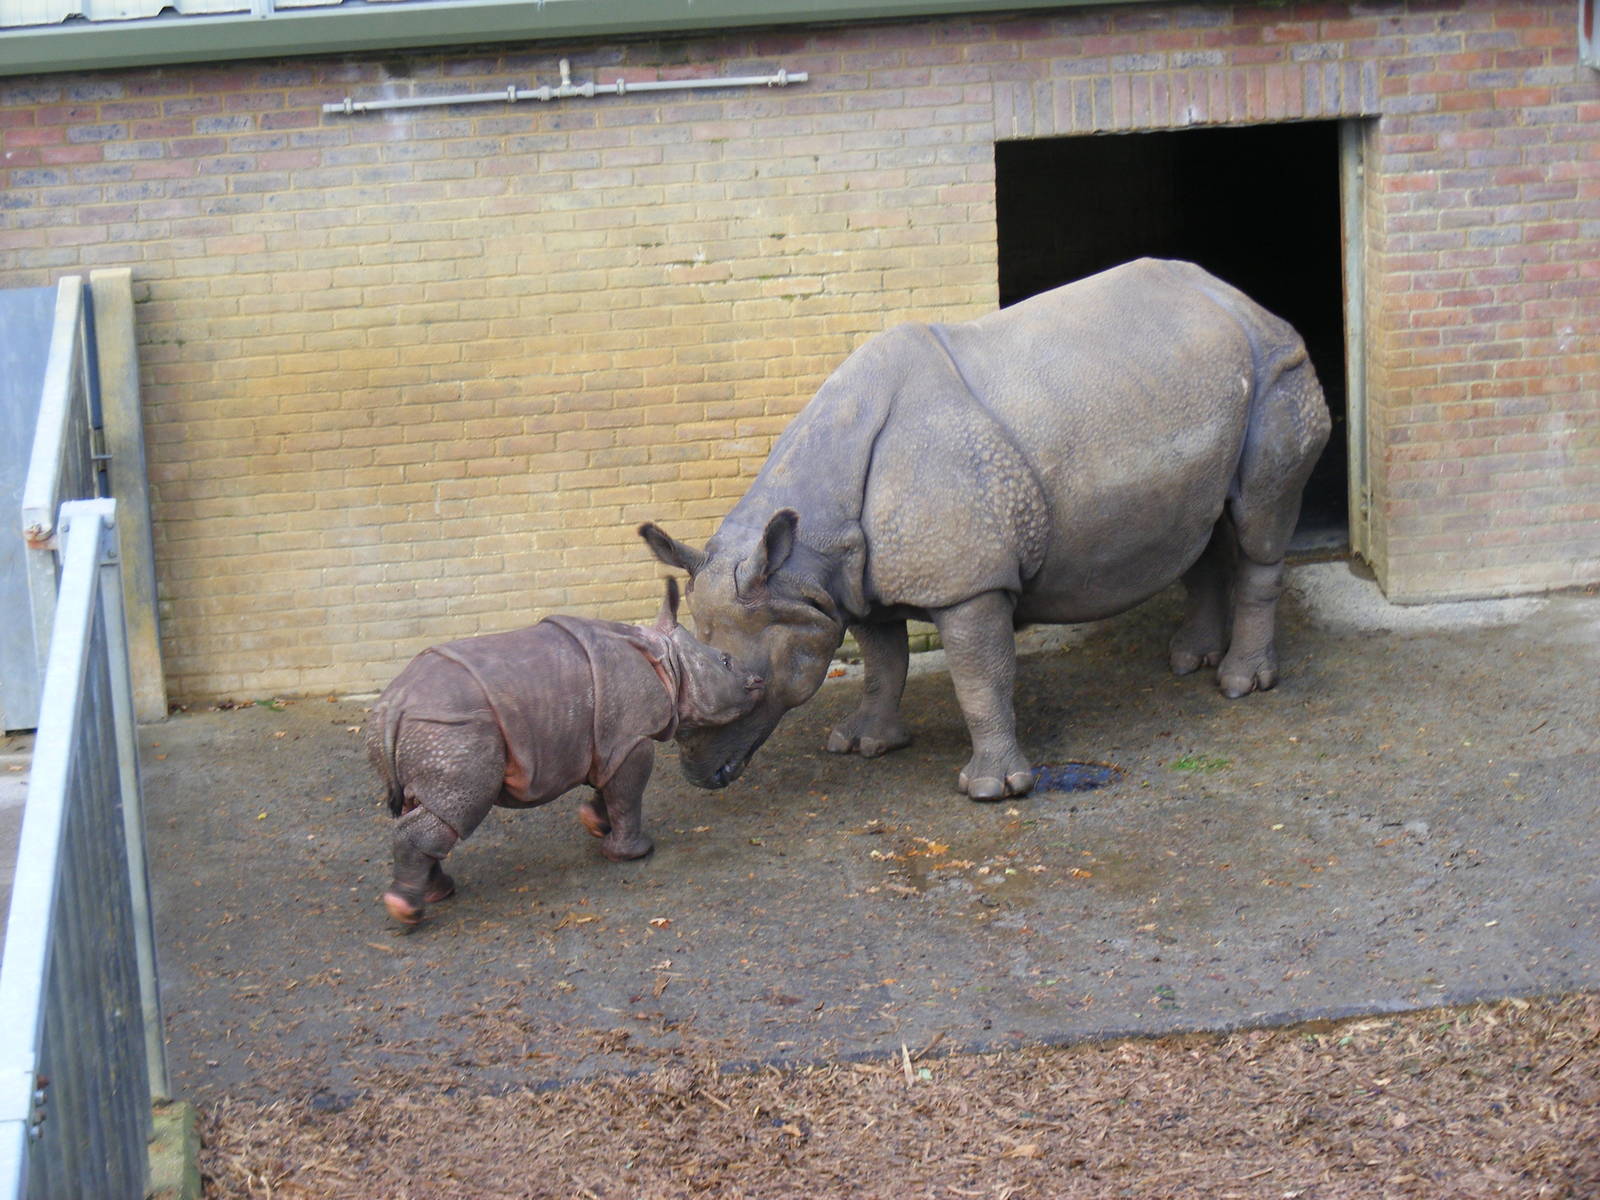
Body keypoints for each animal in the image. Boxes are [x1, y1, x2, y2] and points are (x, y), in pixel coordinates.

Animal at [365, 581, 763, 923]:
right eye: (726, 661)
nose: (758, 681)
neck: (668, 661)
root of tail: (393, 705)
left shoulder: (612, 738)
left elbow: (611, 786)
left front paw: (595, 824)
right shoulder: (632, 735)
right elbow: (628, 792)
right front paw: (633, 854)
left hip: (429, 733)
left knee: (425, 806)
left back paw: (435, 893)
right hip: (449, 731)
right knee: (457, 806)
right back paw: (408, 911)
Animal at [640, 258, 1331, 800]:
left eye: (753, 682)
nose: (699, 776)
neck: (802, 558)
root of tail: (1248, 302)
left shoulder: (969, 583)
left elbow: (980, 675)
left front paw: (993, 789)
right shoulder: (848, 582)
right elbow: (883, 661)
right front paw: (862, 745)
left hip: (1278, 373)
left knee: (1259, 520)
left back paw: (1240, 685)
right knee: (1203, 525)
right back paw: (1189, 660)